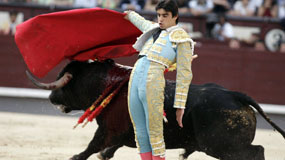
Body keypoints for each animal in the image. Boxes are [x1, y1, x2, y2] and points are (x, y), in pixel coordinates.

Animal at [26, 59, 284, 160]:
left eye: (64, 84)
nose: (51, 97)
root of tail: (234, 94)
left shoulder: (108, 129)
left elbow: (92, 146)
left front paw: (75, 157)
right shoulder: (125, 132)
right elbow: (110, 147)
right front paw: (104, 155)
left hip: (221, 146)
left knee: (256, 151)